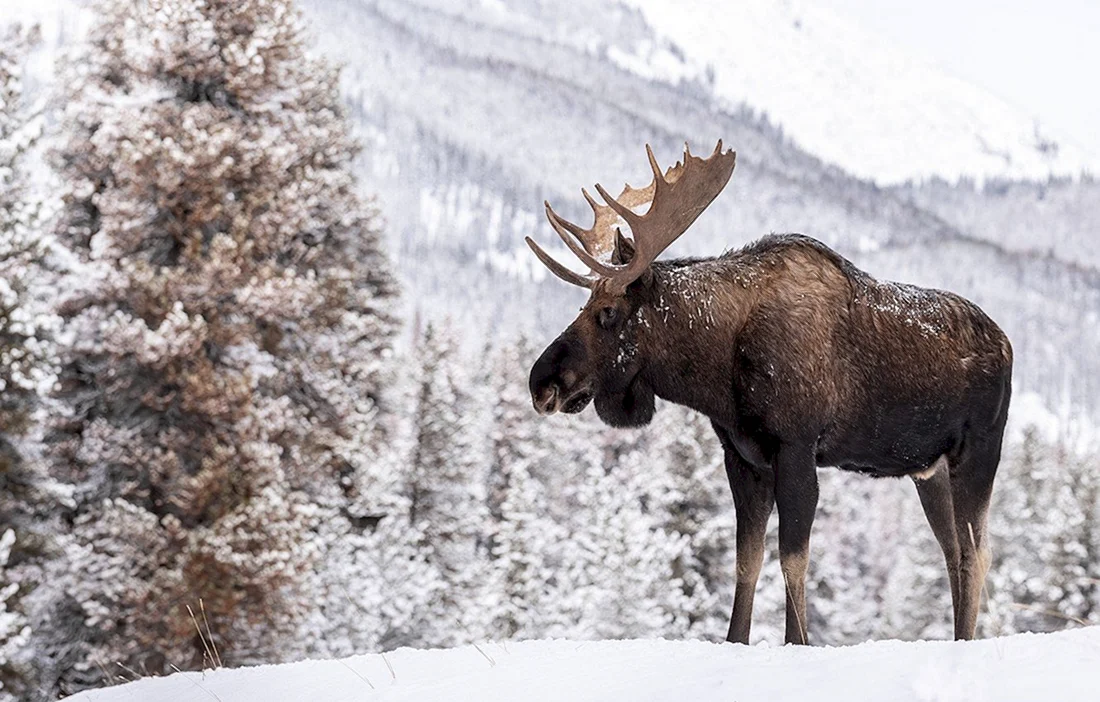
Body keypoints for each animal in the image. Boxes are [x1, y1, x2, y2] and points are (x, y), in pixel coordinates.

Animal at [526, 141, 1012, 645]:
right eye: (584, 305)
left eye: (607, 311)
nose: (541, 382)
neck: (718, 369)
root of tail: (1006, 343)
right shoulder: (743, 457)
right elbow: (747, 560)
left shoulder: (795, 447)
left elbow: (793, 560)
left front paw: (796, 641)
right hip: (928, 470)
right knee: (952, 552)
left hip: (978, 452)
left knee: (976, 553)